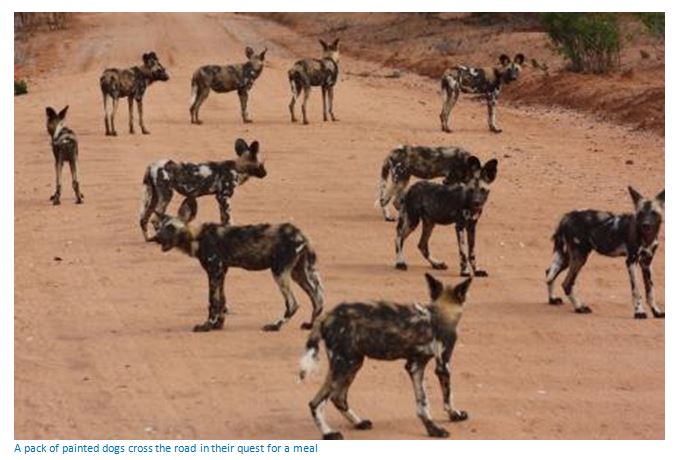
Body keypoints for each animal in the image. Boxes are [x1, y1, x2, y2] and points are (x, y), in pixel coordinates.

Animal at [138, 137, 266, 241]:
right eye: (262, 164)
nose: (266, 173)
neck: (238, 168)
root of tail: (151, 166)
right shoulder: (224, 197)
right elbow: (229, 220)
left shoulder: (220, 199)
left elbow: (223, 220)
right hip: (166, 195)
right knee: (154, 219)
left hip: (152, 197)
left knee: (143, 219)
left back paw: (149, 238)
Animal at [149, 199, 324, 332]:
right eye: (158, 227)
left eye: (170, 228)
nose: (155, 238)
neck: (197, 236)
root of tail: (300, 234)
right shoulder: (221, 272)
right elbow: (221, 301)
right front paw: (218, 325)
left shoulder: (214, 271)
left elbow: (213, 302)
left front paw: (207, 326)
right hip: (299, 274)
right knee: (318, 299)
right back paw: (310, 325)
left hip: (279, 273)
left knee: (293, 304)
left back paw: (275, 326)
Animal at [300, 274, 470, 438]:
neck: (440, 312)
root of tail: (327, 315)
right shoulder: (442, 365)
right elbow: (448, 396)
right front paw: (453, 415)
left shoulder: (415, 365)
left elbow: (422, 403)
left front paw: (432, 428)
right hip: (345, 365)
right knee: (317, 403)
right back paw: (328, 433)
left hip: (352, 364)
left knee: (337, 398)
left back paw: (359, 422)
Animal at [544, 185, 664, 318]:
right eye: (641, 213)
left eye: (654, 213)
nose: (645, 225)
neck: (647, 238)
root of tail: (567, 216)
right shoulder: (631, 261)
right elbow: (636, 291)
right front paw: (639, 312)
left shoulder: (647, 262)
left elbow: (650, 290)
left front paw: (656, 311)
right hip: (579, 258)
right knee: (566, 284)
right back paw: (580, 307)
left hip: (567, 258)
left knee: (549, 273)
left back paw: (552, 299)